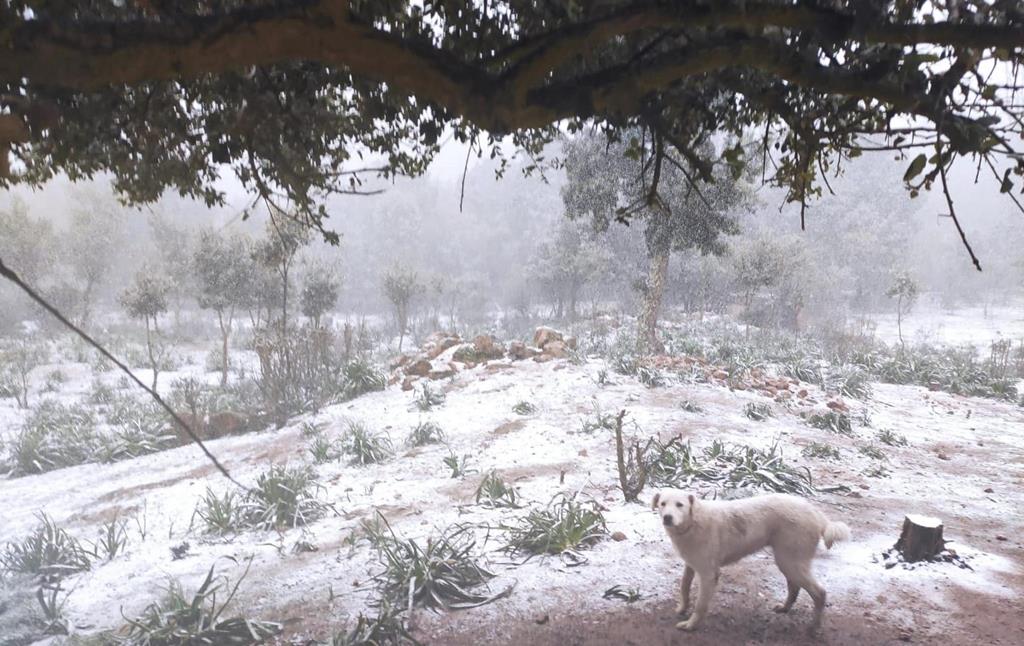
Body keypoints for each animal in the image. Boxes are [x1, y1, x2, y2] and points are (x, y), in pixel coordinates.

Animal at [655, 493, 847, 634]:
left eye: (679, 505)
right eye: (663, 504)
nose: (667, 518)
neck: (693, 522)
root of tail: (816, 512)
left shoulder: (708, 574)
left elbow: (700, 605)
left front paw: (691, 625)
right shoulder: (691, 565)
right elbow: (684, 587)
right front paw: (682, 609)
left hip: (790, 562)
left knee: (820, 593)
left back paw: (814, 627)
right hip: (788, 562)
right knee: (794, 587)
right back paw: (785, 608)